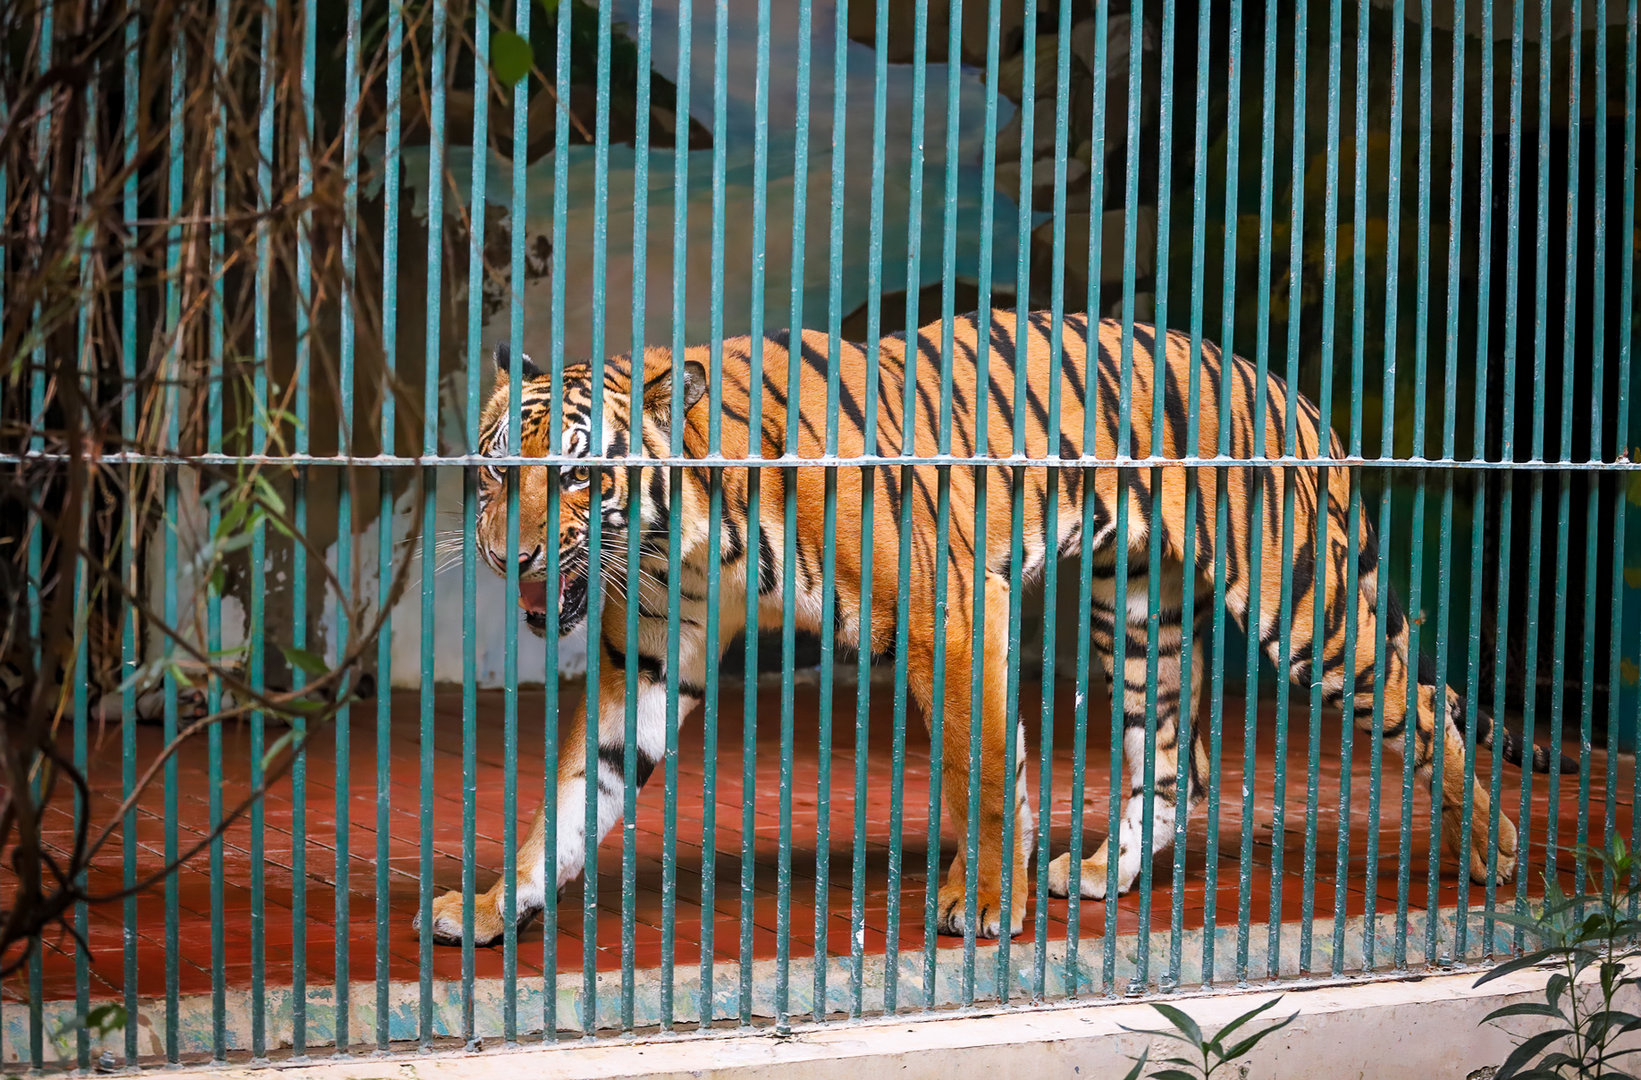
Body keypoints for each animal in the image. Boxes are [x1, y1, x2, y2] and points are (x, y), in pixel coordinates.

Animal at [415, 308, 1561, 947]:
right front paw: (489, 907)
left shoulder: (949, 609)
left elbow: (978, 767)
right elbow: (570, 800)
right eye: (492, 473)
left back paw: (1495, 853)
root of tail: (1288, 389)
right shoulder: (649, 660)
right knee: (1173, 765)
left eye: (576, 476)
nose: (510, 556)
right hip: (1135, 614)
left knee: (1426, 704)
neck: (681, 534)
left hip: (1308, 615)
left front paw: (983, 905)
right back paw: (1099, 874)